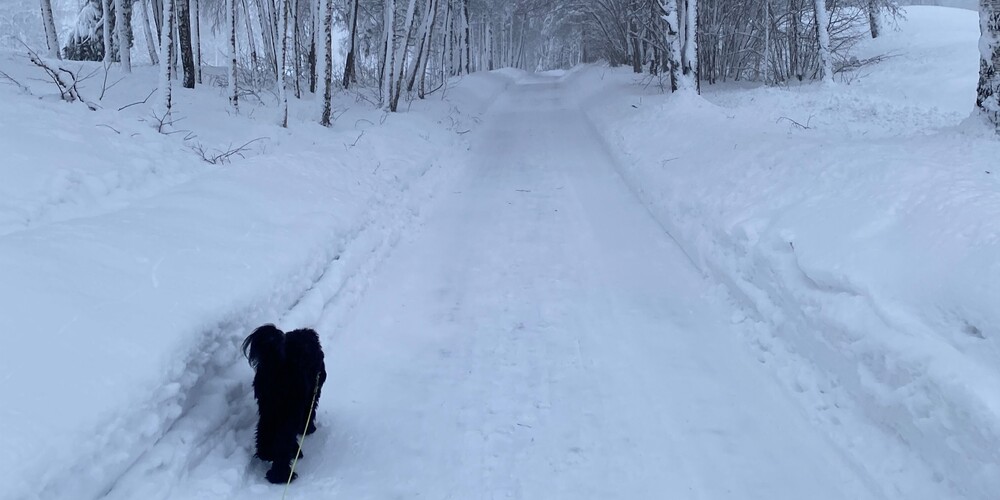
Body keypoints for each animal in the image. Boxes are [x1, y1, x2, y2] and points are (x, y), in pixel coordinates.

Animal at [242, 324, 328, 484]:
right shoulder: (311, 395)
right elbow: (309, 413)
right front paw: (308, 429)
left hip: (268, 407)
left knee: (264, 429)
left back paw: (266, 454)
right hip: (290, 407)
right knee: (284, 440)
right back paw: (282, 474)